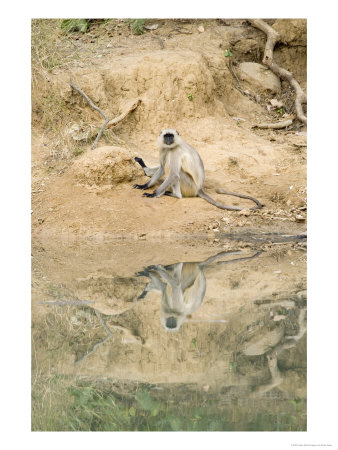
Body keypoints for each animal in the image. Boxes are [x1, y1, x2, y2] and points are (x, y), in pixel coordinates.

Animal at [133, 127, 262, 210]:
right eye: (166, 136)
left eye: (171, 136)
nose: (169, 140)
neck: (172, 146)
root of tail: (199, 188)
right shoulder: (165, 149)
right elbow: (162, 169)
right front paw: (144, 185)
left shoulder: (174, 151)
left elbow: (173, 174)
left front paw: (153, 194)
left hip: (190, 186)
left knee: (176, 173)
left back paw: (175, 195)